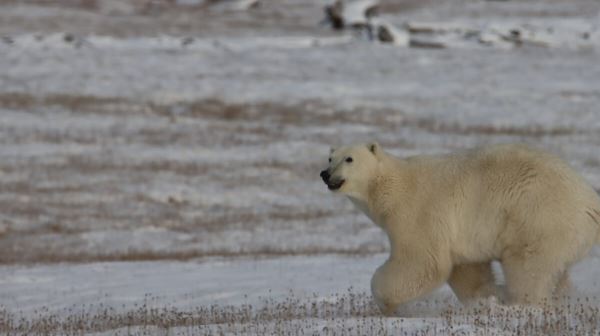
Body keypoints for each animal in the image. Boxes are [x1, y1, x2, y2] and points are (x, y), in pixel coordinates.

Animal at [322, 142, 600, 316]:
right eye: (330, 157)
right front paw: (486, 297)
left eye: (349, 159)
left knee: (528, 268)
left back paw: (522, 303)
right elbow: (467, 270)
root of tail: (590, 200)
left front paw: (385, 301)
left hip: (538, 217)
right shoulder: (460, 238)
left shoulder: (418, 212)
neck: (391, 187)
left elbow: (423, 262)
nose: (325, 173)